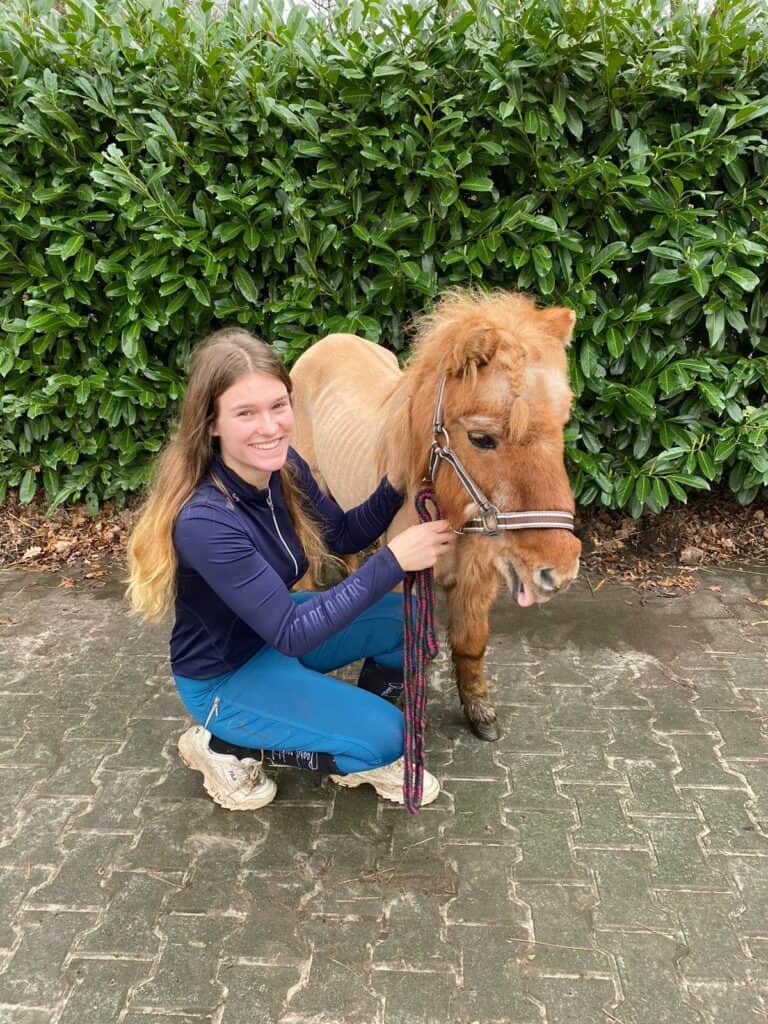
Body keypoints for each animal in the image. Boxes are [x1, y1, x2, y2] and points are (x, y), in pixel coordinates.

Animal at [289, 289, 582, 741]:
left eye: (561, 425)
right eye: (481, 438)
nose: (557, 571)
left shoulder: (477, 579)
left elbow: (470, 643)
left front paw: (480, 713)